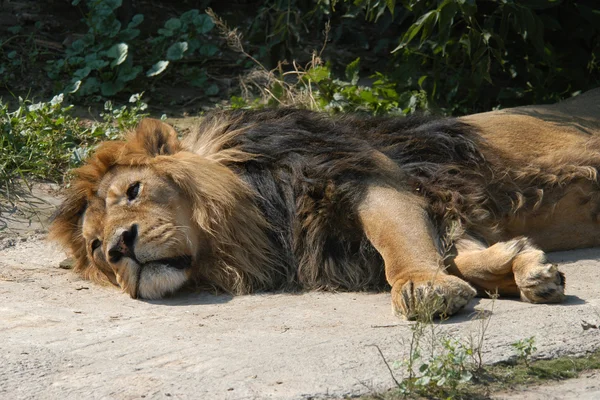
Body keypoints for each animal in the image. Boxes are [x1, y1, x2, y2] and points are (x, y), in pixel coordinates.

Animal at [49, 88, 600, 318]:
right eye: (96, 248)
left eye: (134, 191)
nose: (120, 246)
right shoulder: (434, 203)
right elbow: (458, 252)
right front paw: (523, 268)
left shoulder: (362, 174)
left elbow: (398, 243)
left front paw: (422, 287)